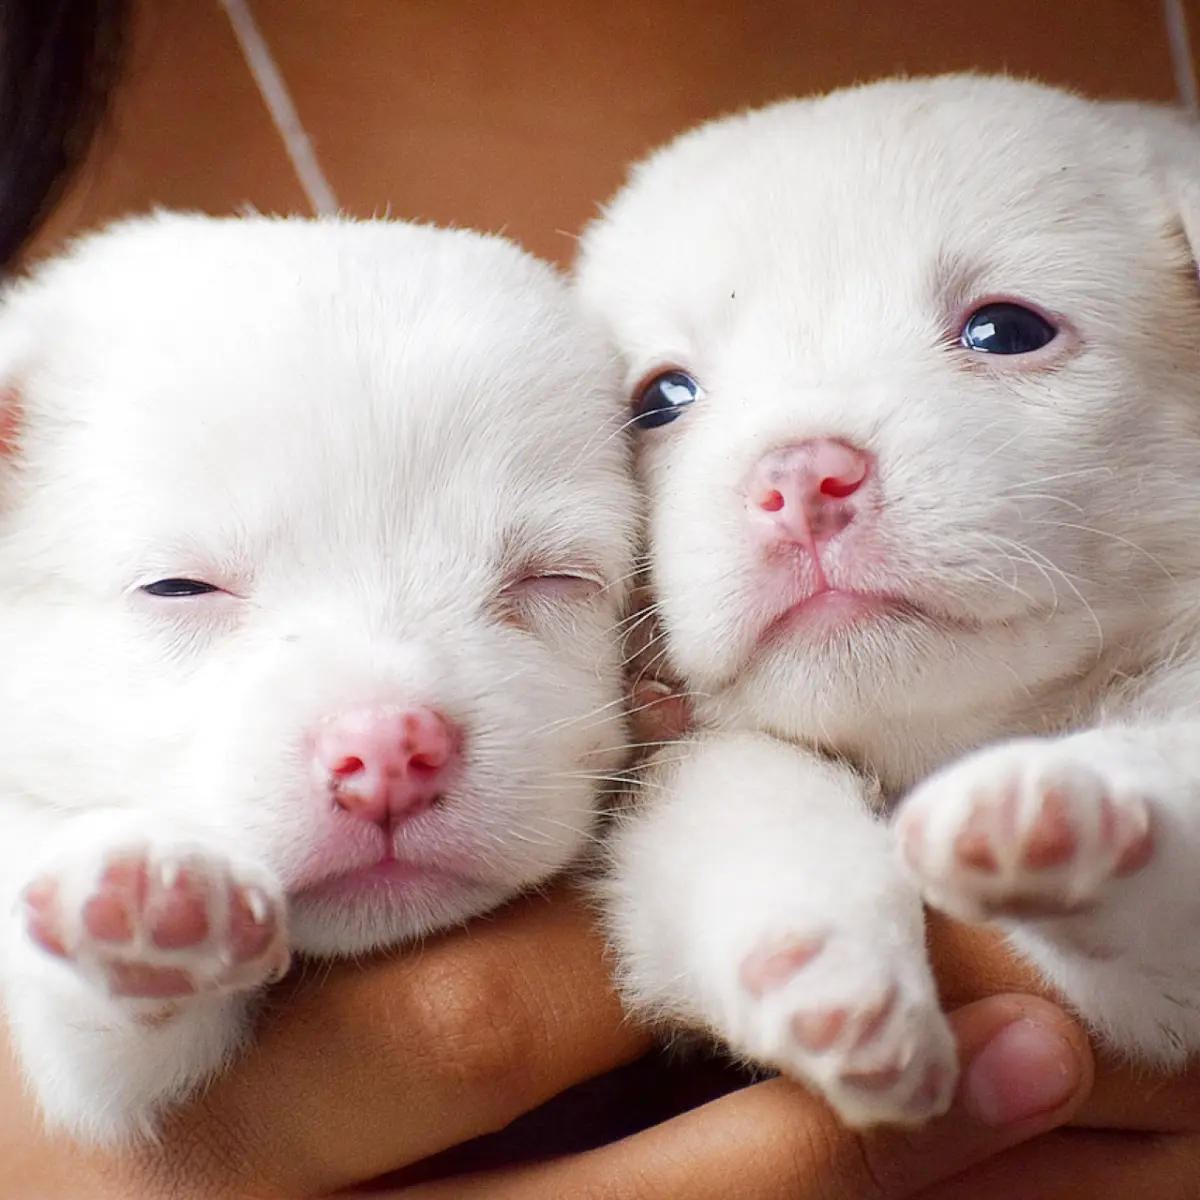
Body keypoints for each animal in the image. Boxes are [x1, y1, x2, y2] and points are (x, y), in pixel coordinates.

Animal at [571, 72, 1200, 1123]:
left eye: (1006, 330)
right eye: (660, 397)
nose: (799, 479)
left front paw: (1071, 803)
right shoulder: (681, 781)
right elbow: (745, 790)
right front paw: (819, 953)